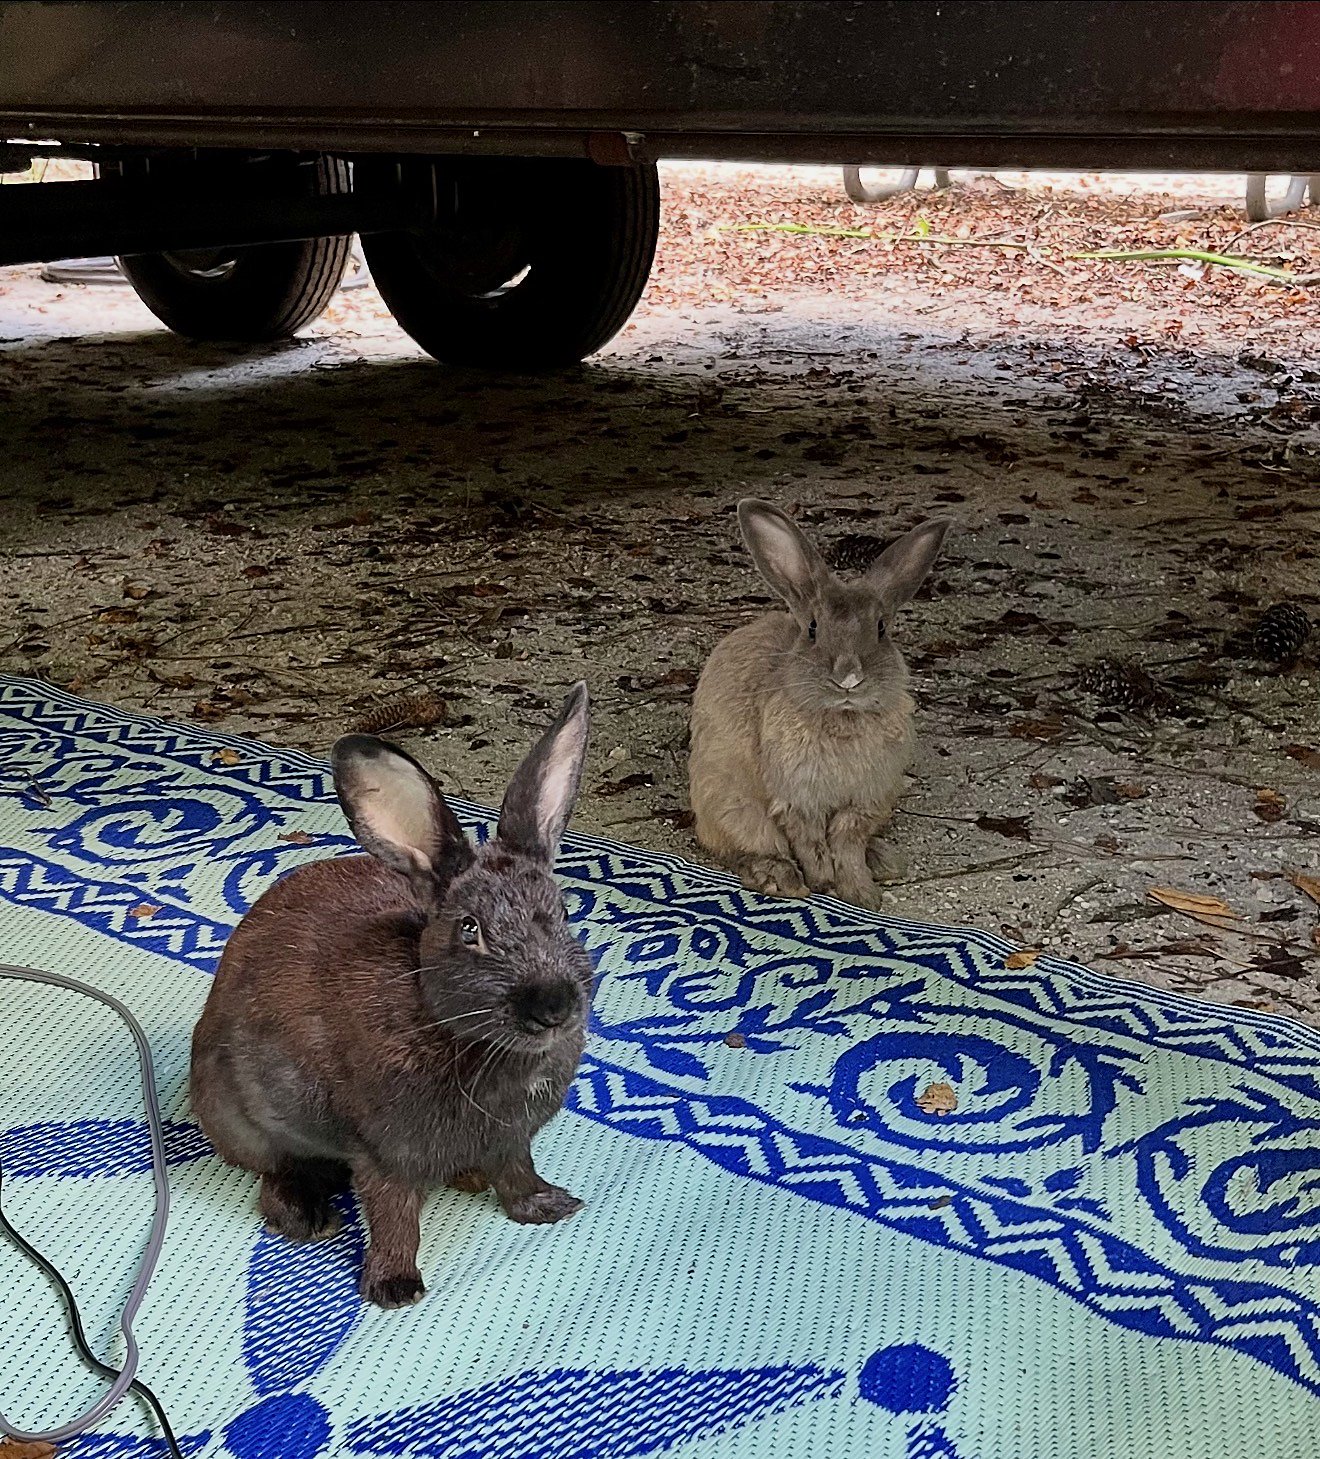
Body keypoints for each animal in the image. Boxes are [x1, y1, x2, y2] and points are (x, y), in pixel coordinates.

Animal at [191, 683, 593, 1309]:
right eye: (470, 930)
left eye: (563, 914)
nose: (552, 1008)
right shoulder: (386, 1153)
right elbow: (395, 1217)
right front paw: (395, 1288)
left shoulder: (511, 1140)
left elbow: (516, 1174)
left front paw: (549, 1206)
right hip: (244, 1117)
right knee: (275, 1172)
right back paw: (308, 1216)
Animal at [689, 501, 949, 910]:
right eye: (812, 629)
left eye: (881, 629)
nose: (848, 678)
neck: (842, 717)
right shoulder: (797, 799)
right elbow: (810, 842)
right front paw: (823, 884)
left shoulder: (867, 800)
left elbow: (847, 842)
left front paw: (862, 895)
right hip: (730, 803)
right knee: (743, 848)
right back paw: (779, 879)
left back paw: (883, 860)